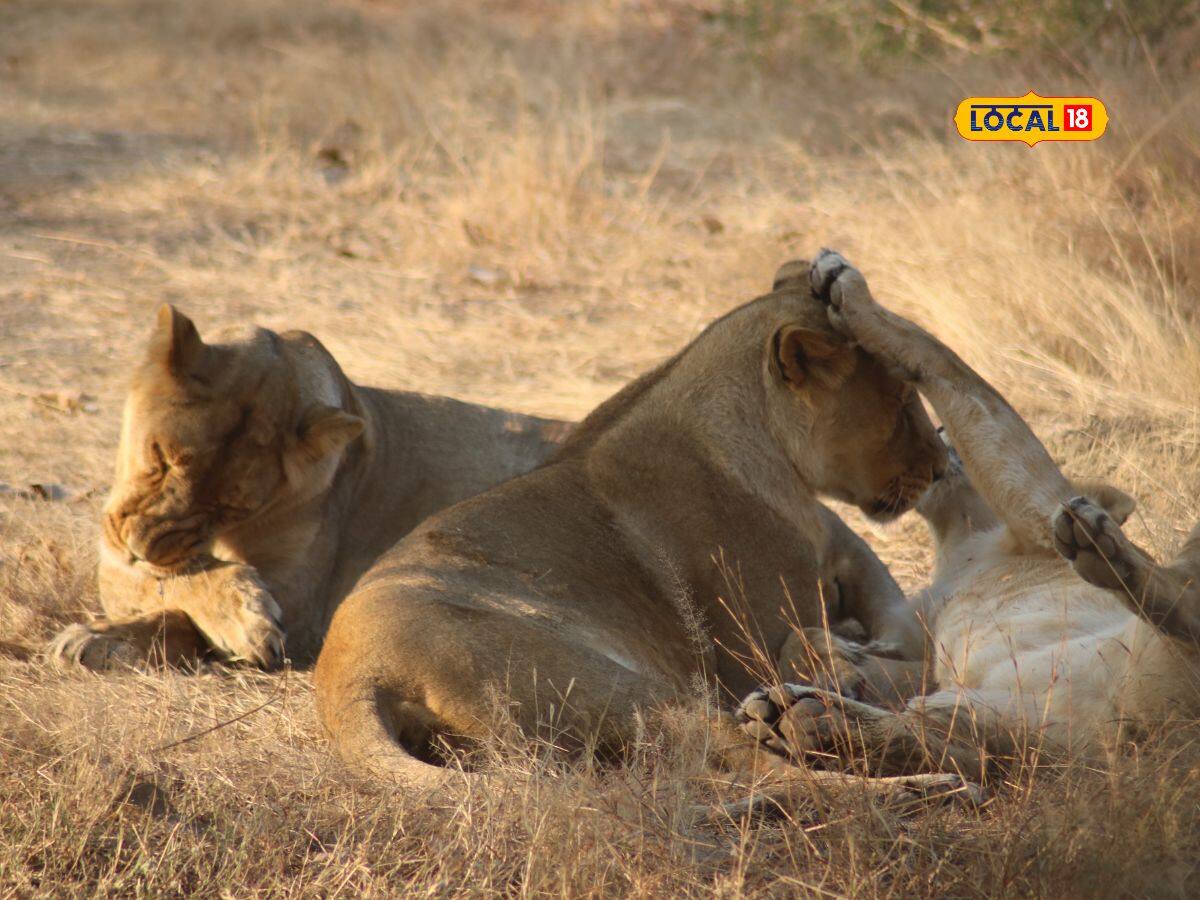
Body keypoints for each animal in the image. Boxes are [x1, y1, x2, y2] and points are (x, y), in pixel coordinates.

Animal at [49, 305, 570, 670]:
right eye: (160, 457)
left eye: (231, 508)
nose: (140, 548)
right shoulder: (115, 559)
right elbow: (176, 580)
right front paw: (98, 635)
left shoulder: (304, 601)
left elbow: (179, 607)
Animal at [313, 257, 950, 789]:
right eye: (901, 402)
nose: (944, 466)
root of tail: (351, 672)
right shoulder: (749, 644)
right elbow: (805, 641)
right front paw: (844, 669)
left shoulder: (847, 554)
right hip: (624, 687)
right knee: (744, 762)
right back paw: (918, 788)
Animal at [737, 250, 1200, 780]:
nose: (940, 434)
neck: (955, 543)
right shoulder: (911, 637)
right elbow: (801, 635)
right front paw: (838, 668)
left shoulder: (1034, 521)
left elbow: (949, 366)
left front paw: (848, 293)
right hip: (1006, 722)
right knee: (951, 748)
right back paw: (803, 720)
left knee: (1185, 599)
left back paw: (1098, 544)